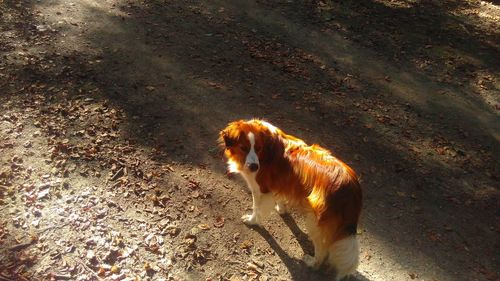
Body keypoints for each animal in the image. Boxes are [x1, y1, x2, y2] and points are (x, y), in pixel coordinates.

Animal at [220, 118, 364, 280]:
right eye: (243, 148)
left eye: (258, 148)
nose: (254, 167)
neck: (268, 149)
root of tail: (352, 187)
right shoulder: (280, 184)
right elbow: (280, 198)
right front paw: (281, 209)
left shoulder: (260, 189)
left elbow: (257, 209)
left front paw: (252, 221)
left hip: (314, 223)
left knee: (322, 249)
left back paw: (312, 262)